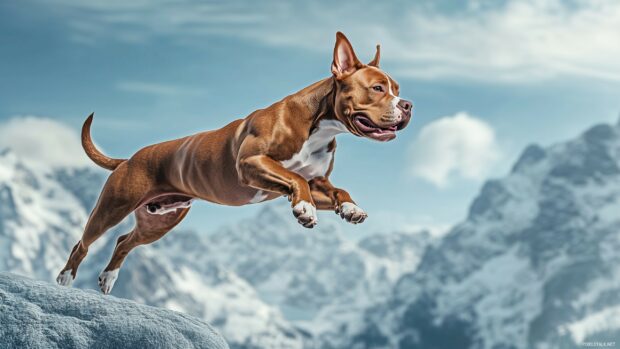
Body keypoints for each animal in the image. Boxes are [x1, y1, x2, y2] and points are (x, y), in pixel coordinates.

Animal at [57, 32, 412, 294]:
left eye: (397, 89)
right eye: (377, 88)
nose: (408, 104)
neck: (319, 123)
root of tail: (130, 158)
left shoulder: (317, 182)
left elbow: (337, 189)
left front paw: (350, 208)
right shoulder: (251, 163)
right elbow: (294, 179)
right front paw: (305, 210)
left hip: (160, 220)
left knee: (124, 241)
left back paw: (108, 277)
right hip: (113, 206)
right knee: (84, 241)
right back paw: (65, 277)